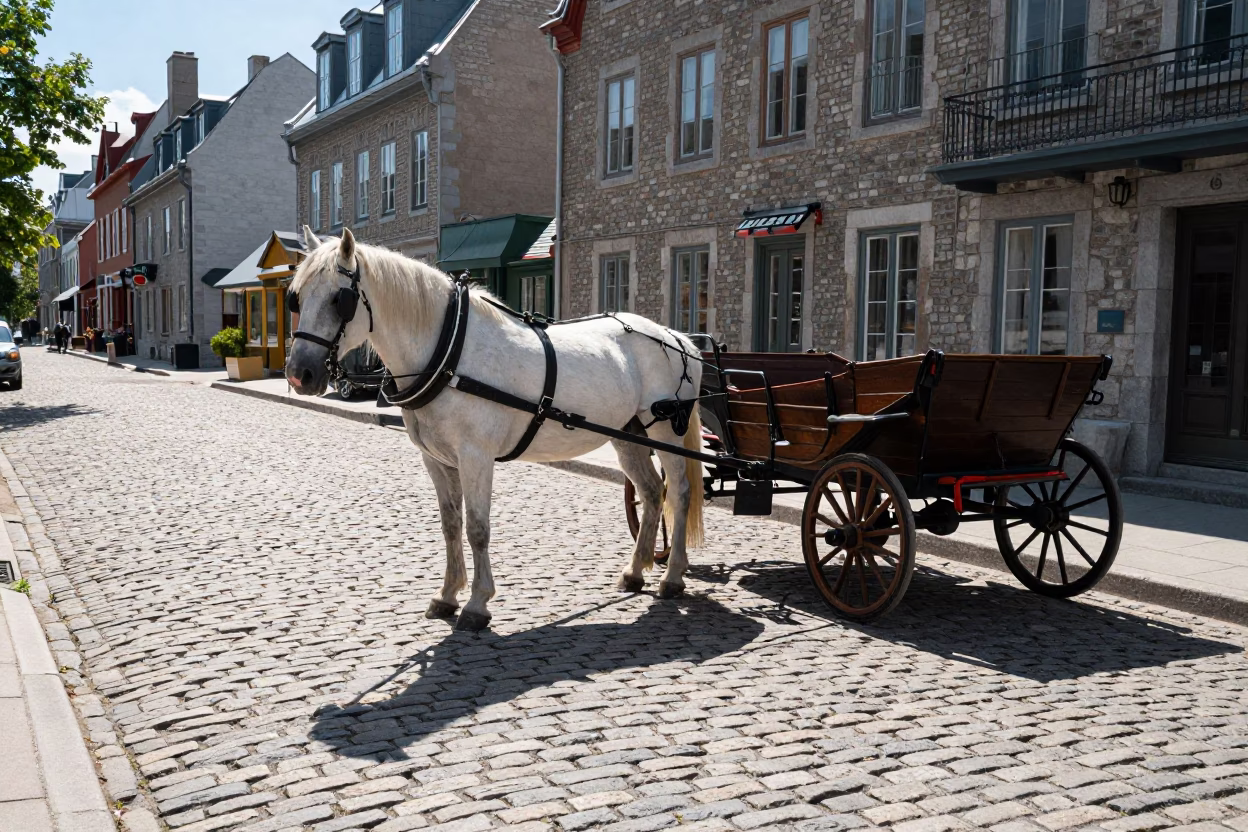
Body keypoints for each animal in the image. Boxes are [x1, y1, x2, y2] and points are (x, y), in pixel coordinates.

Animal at [285, 228, 704, 631]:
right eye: (296, 297)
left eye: (339, 299)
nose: (299, 374)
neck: (449, 354)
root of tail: (678, 338)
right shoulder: (436, 459)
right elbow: (450, 524)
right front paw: (447, 595)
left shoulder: (476, 456)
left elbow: (477, 528)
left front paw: (476, 604)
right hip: (626, 435)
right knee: (651, 492)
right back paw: (635, 571)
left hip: (666, 431)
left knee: (679, 491)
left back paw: (672, 577)